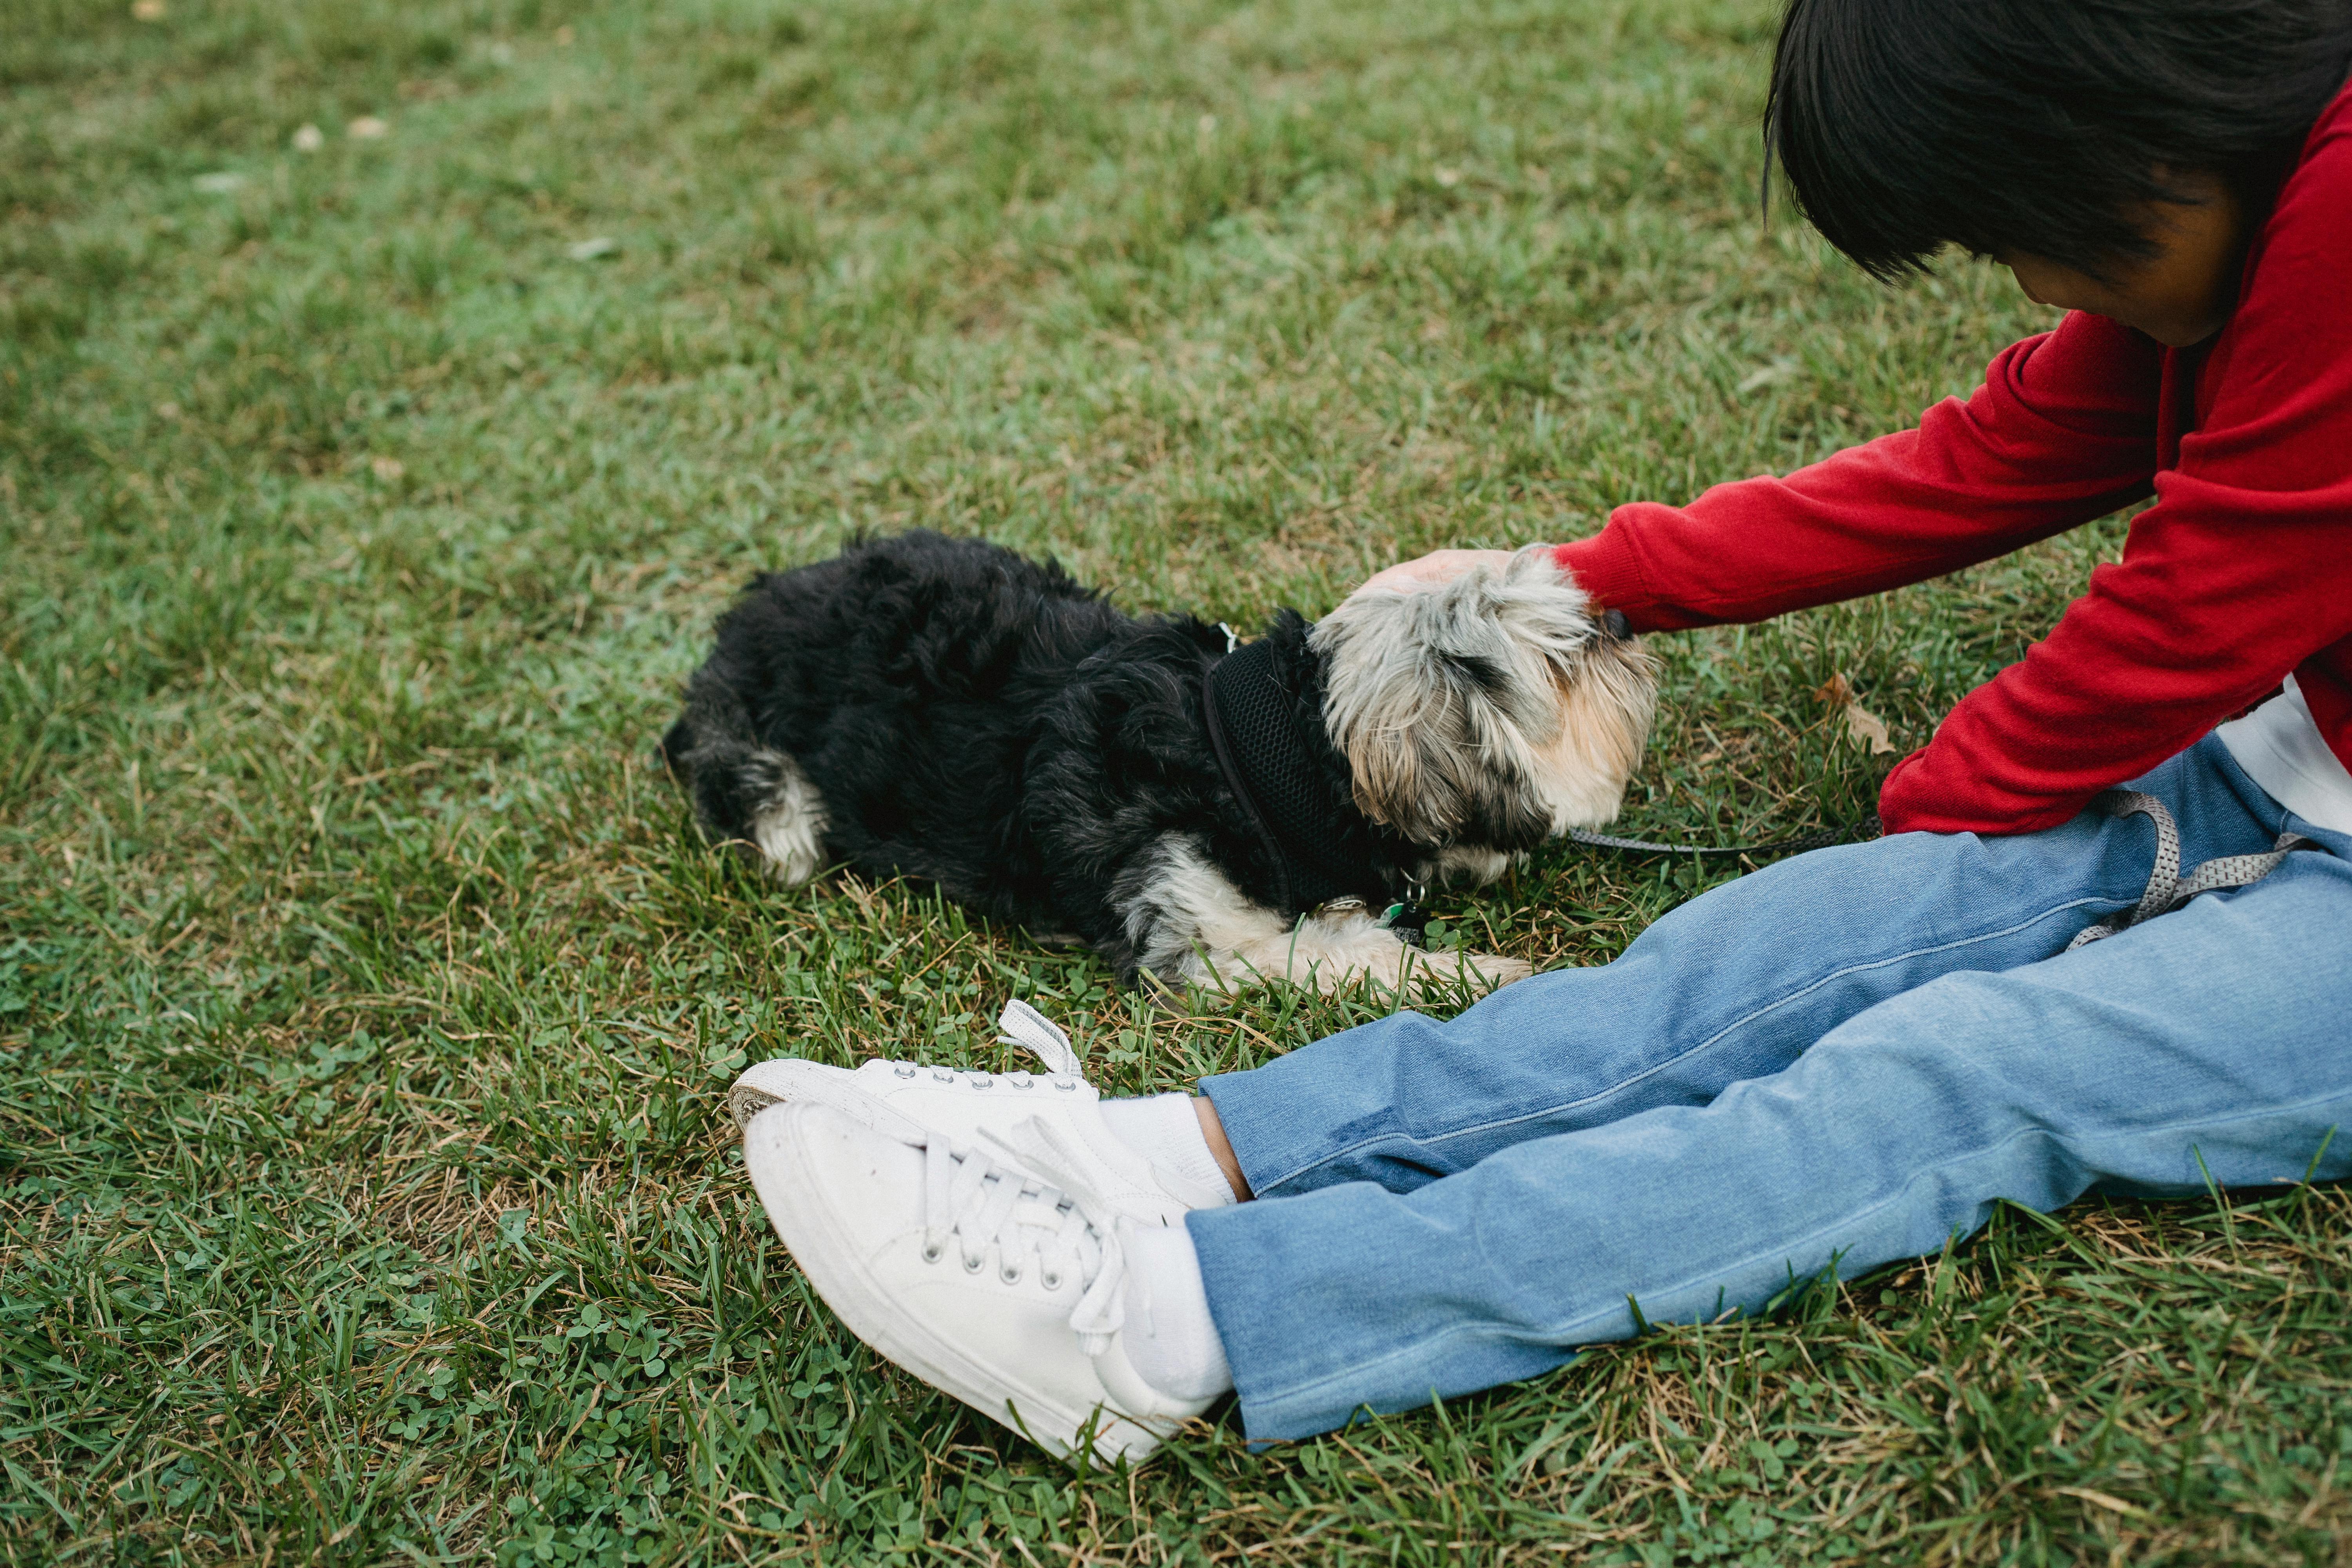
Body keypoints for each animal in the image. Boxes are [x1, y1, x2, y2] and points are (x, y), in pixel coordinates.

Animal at [663, 534, 1656, 1001]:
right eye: (1565, 658)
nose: (1620, 624)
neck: (1272, 761)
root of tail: (751, 608)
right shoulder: (1196, 932)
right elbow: (1346, 956)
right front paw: (1479, 973)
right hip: (744, 739)